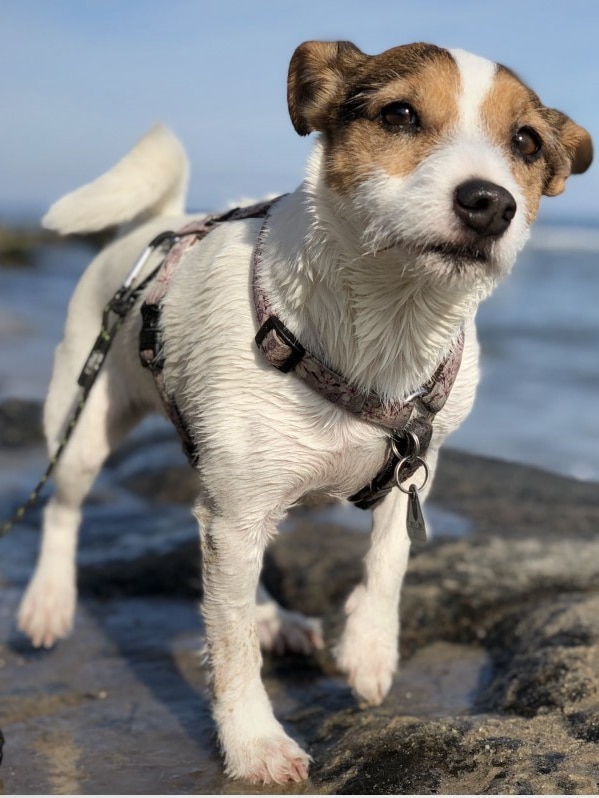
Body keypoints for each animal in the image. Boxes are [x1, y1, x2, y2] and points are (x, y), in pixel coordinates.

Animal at [16, 40, 592, 784]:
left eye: (525, 141)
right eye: (399, 115)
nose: (489, 202)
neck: (385, 329)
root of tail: (157, 227)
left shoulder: (414, 463)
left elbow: (389, 557)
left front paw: (370, 649)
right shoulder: (237, 513)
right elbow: (230, 646)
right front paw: (253, 741)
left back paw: (274, 617)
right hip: (86, 425)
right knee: (65, 510)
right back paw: (49, 601)